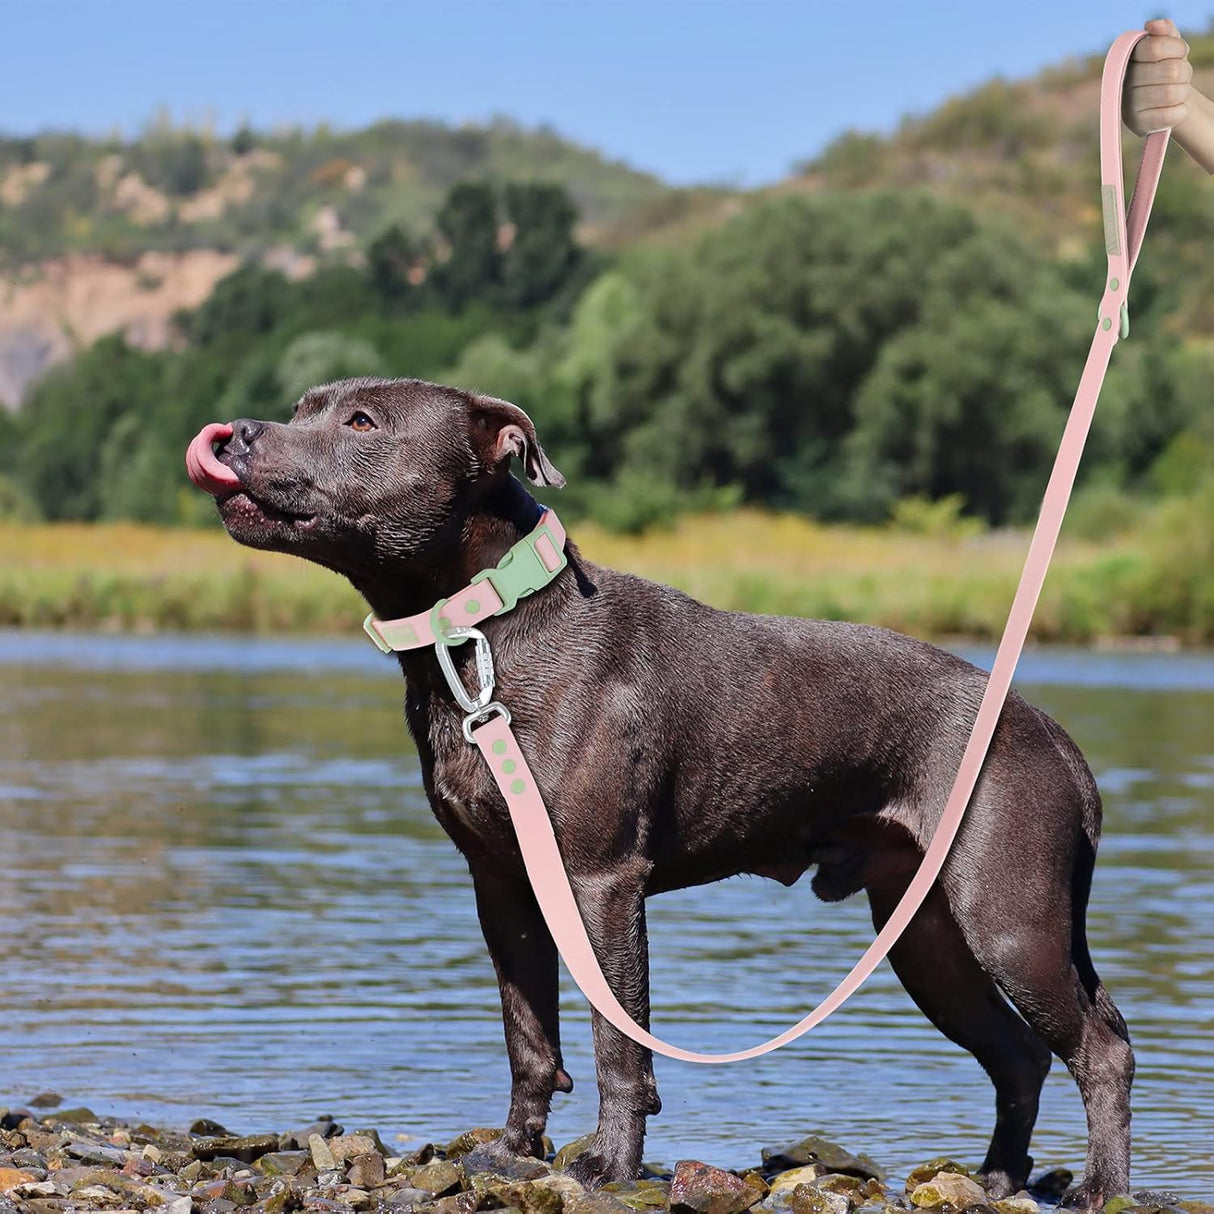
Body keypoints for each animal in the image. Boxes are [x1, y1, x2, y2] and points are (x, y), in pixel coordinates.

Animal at [196, 373, 1136, 1209]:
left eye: (361, 422)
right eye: (301, 408)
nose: (233, 433)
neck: (482, 629)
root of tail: (1054, 736)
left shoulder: (602, 882)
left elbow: (618, 1042)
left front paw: (607, 1166)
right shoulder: (503, 888)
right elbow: (528, 1036)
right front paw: (513, 1153)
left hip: (1009, 918)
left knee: (1102, 1047)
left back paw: (1101, 1188)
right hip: (927, 938)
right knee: (1019, 1056)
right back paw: (999, 1178)